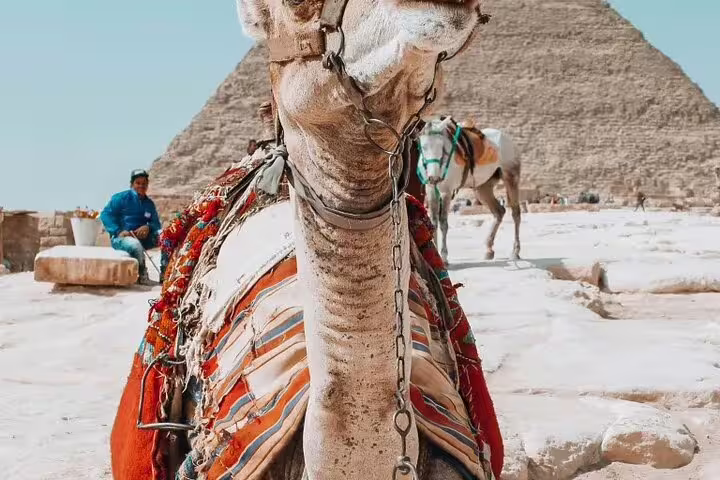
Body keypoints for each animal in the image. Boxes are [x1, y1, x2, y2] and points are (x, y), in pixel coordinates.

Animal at [416, 116, 521, 263]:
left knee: (516, 213)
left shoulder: (446, 191)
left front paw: (444, 256)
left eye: (443, 148)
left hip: (511, 177)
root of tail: (507, 138)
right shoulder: (430, 190)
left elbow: (443, 223)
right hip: (483, 188)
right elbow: (433, 222)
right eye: (423, 147)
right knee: (499, 212)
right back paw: (489, 249)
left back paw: (515, 251)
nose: (434, 178)